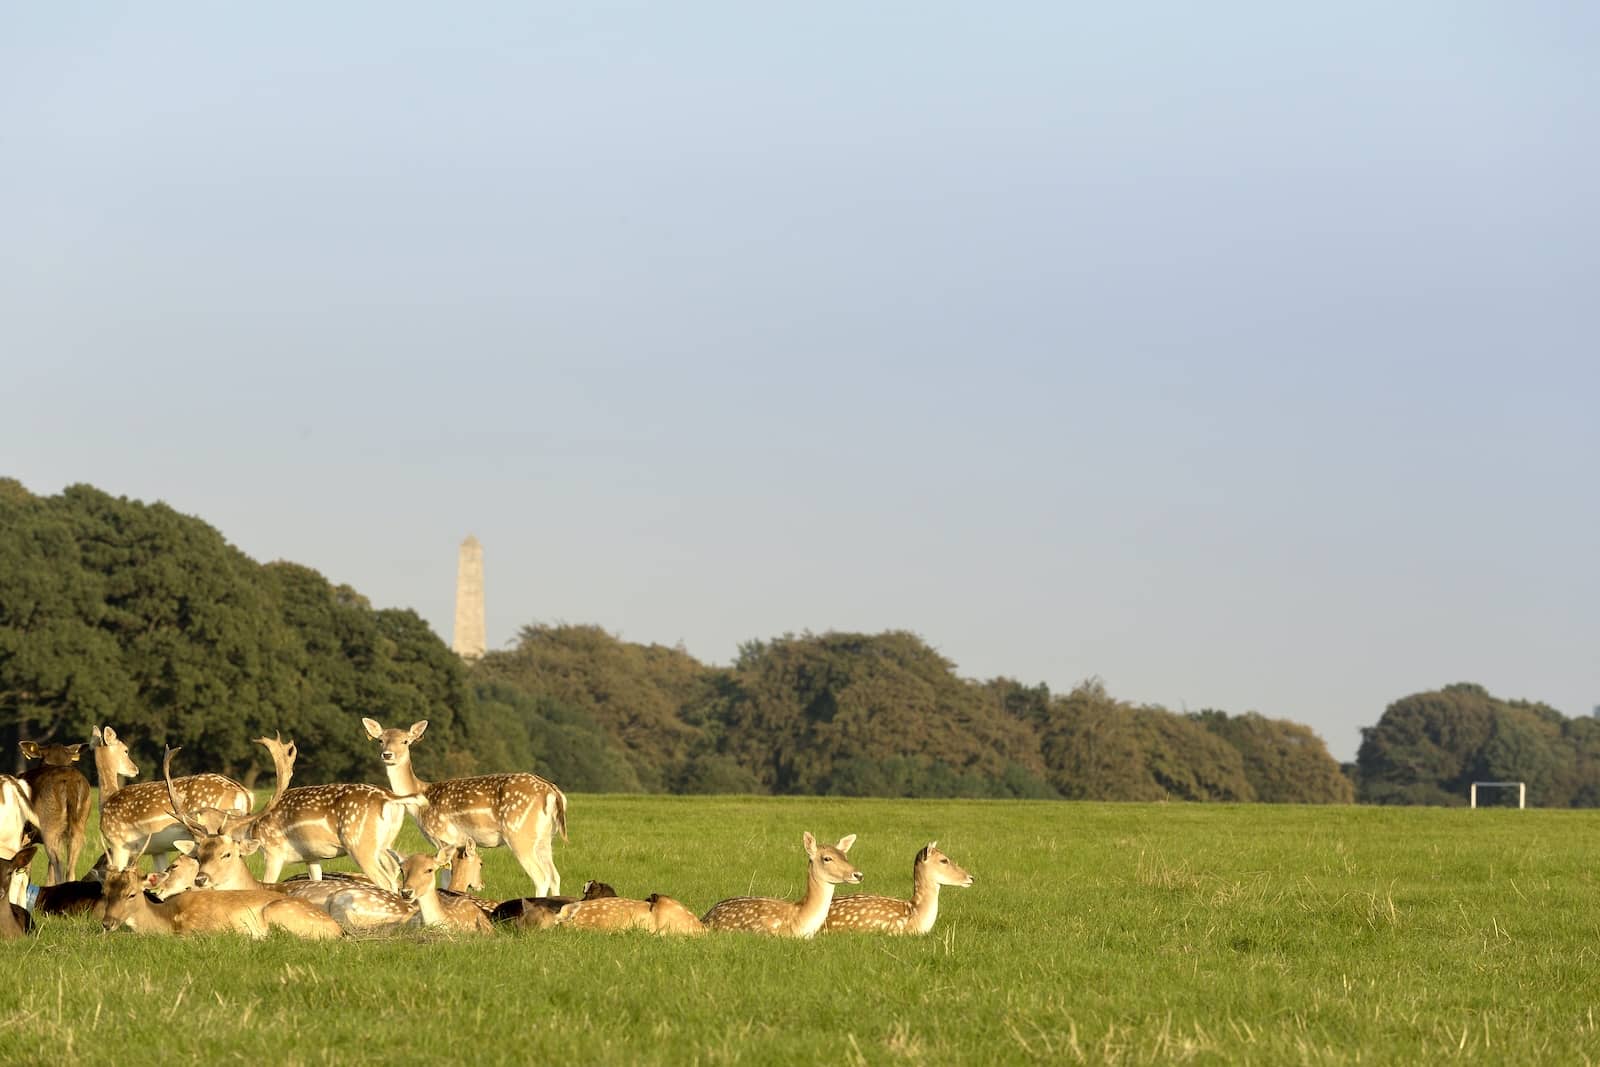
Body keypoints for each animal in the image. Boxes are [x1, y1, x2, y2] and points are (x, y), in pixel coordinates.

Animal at [19, 741, 92, 884]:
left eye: (43, 760)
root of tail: (70, 781)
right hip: (79, 825)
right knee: (70, 868)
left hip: (49, 824)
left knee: (59, 866)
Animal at [90, 725, 252, 872]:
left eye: (126, 749)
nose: (135, 769)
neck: (106, 800)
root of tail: (243, 793)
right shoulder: (157, 851)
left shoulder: (118, 843)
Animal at [362, 718, 567, 895]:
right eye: (380, 740)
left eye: (405, 741)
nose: (387, 754)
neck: (421, 801)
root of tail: (553, 792)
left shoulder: (444, 837)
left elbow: (444, 876)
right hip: (545, 838)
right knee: (555, 876)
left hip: (519, 833)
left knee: (542, 877)